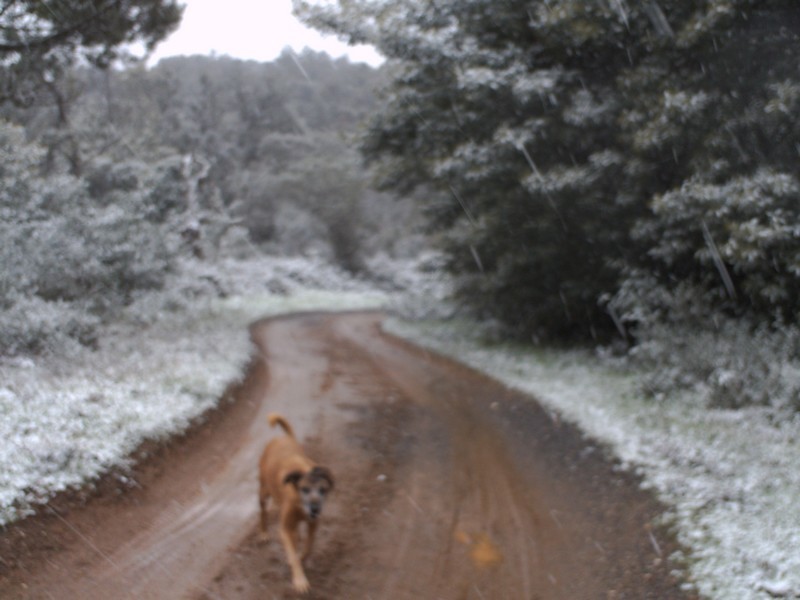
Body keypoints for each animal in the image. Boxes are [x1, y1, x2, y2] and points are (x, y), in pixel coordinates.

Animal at [258, 413, 334, 594]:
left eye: (323, 490)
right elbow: (292, 554)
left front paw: (301, 556)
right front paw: (299, 580)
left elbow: (308, 547)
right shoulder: (285, 528)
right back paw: (264, 532)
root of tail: (282, 438)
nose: (315, 509)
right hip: (264, 491)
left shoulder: (313, 524)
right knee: (263, 511)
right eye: (304, 489)